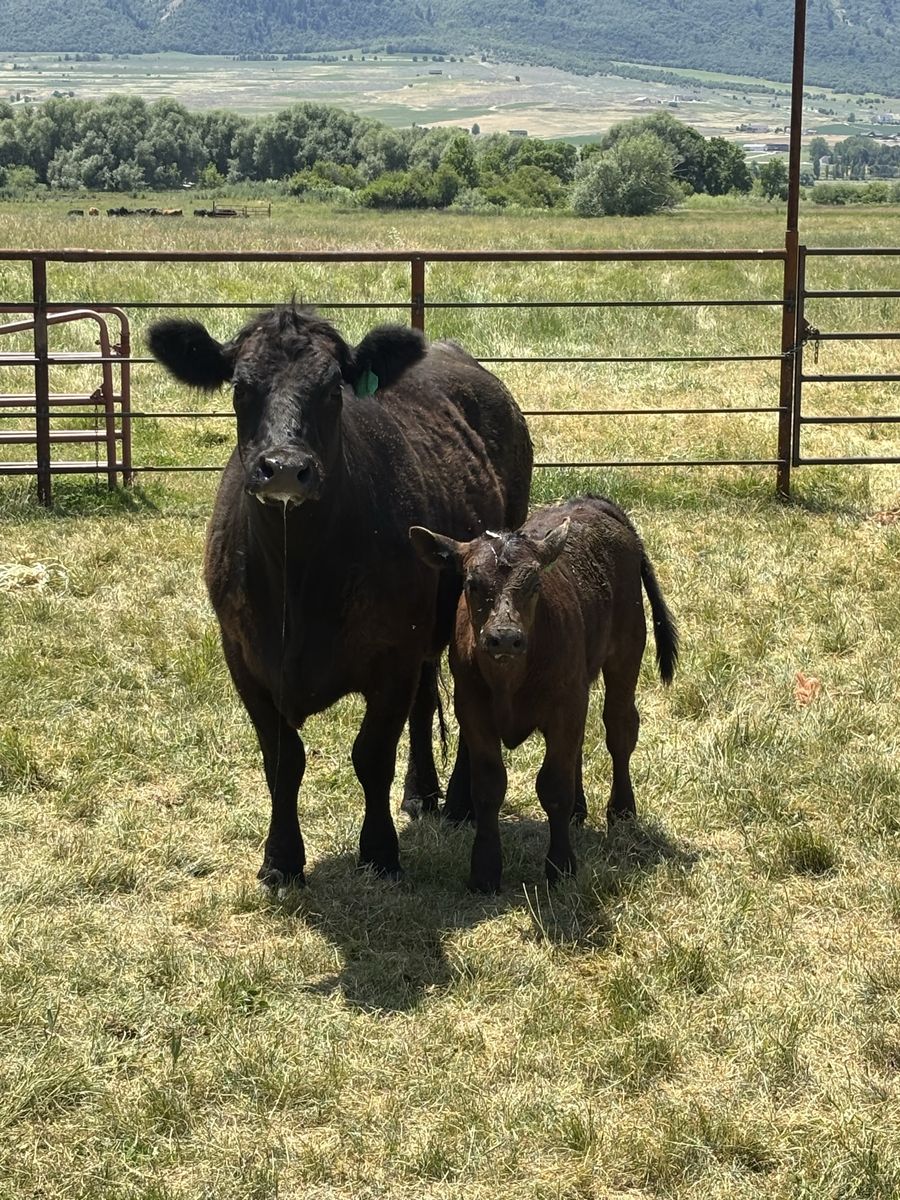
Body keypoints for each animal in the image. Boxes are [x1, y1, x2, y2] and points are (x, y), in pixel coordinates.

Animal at [147, 305, 532, 890]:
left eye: (333, 390)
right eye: (240, 386)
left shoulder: (392, 656)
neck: (297, 578)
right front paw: (281, 860)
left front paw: (379, 852)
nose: (284, 467)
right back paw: (421, 792)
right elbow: (283, 760)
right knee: (426, 699)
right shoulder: (243, 656)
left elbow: (371, 755)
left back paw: (461, 802)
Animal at [410, 495, 678, 892]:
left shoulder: (563, 708)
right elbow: (488, 787)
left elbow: (554, 785)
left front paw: (561, 866)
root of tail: (593, 502)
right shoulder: (474, 711)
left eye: (535, 582)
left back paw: (622, 810)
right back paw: (580, 810)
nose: (504, 637)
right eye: (472, 583)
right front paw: (484, 871)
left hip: (627, 650)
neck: (509, 679)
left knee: (620, 729)